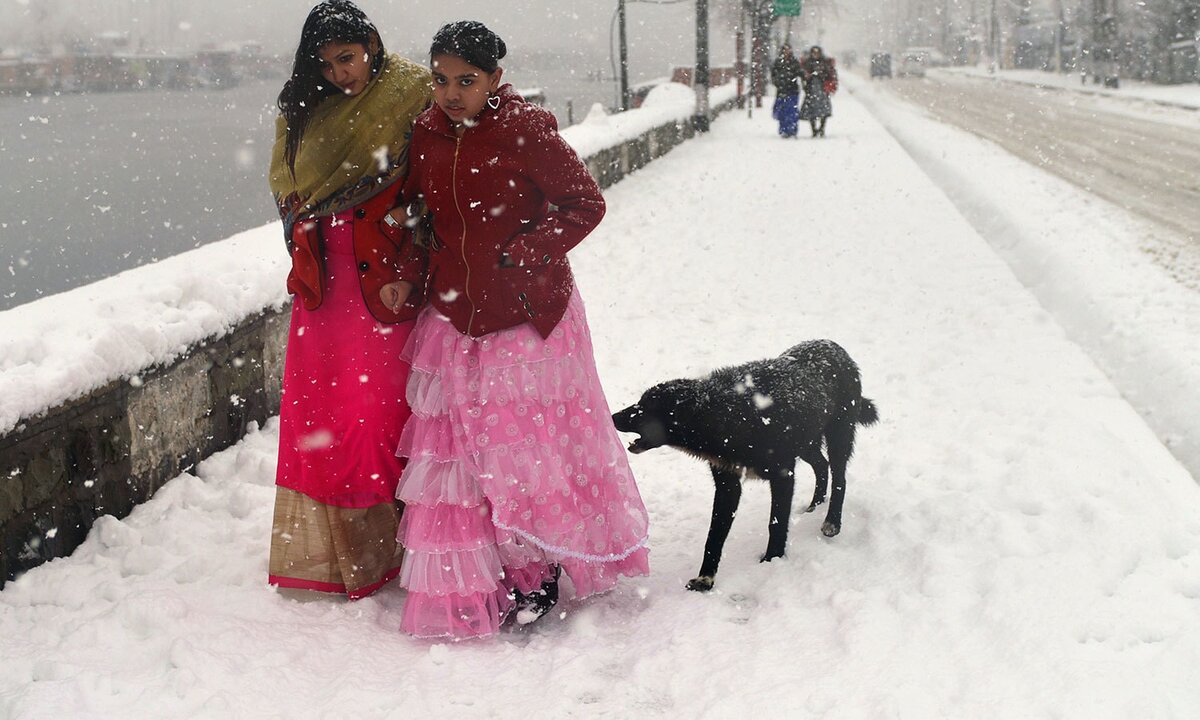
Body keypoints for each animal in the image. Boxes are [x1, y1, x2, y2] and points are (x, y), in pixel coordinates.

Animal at [614, 340, 878, 592]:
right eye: (639, 402)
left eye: (644, 408)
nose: (613, 417)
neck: (730, 413)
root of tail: (835, 347)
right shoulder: (728, 484)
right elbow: (714, 536)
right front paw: (705, 579)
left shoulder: (783, 475)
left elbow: (776, 523)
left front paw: (773, 559)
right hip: (807, 443)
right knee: (821, 466)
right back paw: (814, 505)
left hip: (838, 437)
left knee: (839, 478)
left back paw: (832, 522)